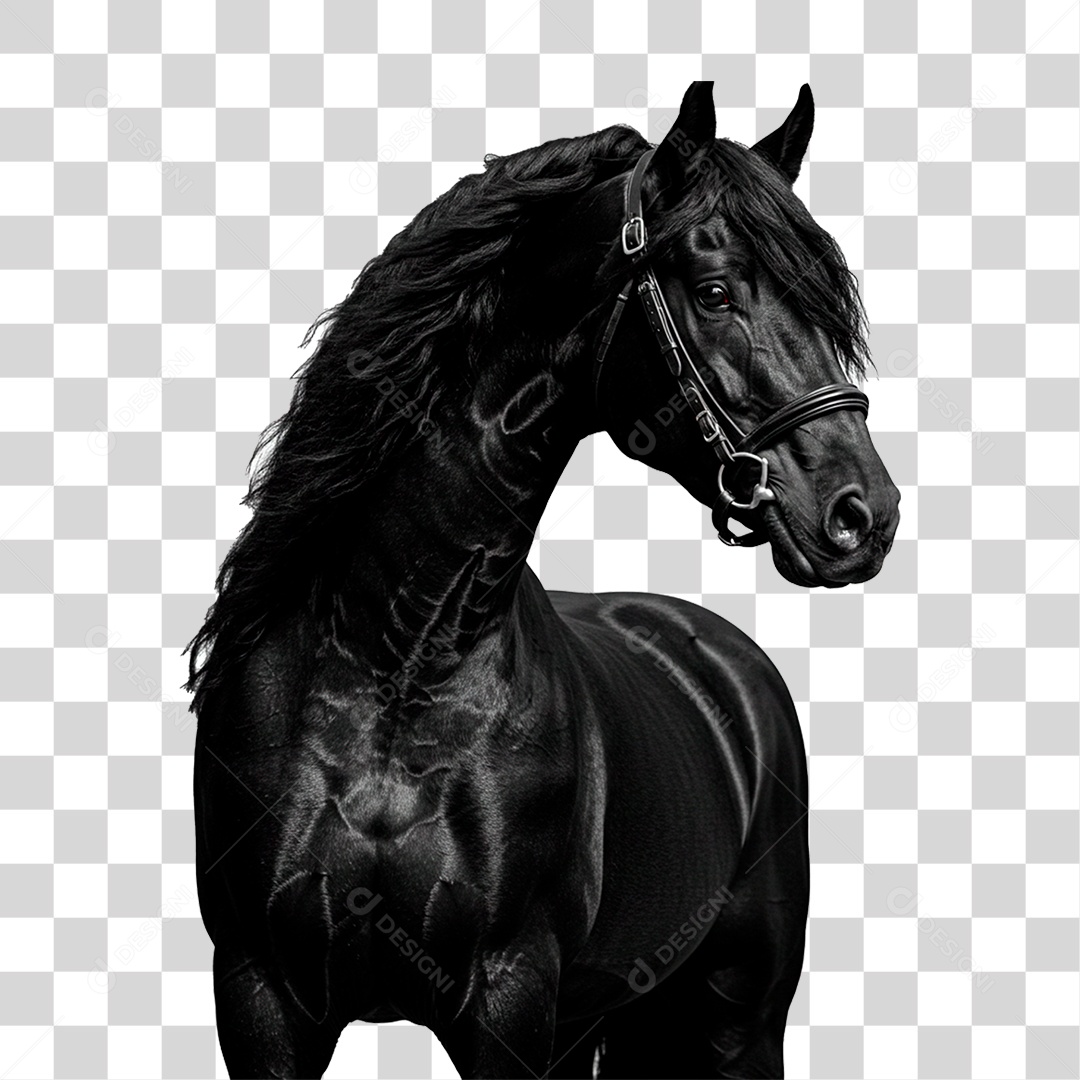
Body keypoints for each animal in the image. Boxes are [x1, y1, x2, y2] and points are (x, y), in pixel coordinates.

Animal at [187, 81, 900, 1079]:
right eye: (715, 291)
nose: (861, 515)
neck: (393, 656)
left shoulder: (511, 995)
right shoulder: (260, 997)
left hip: (738, 1018)